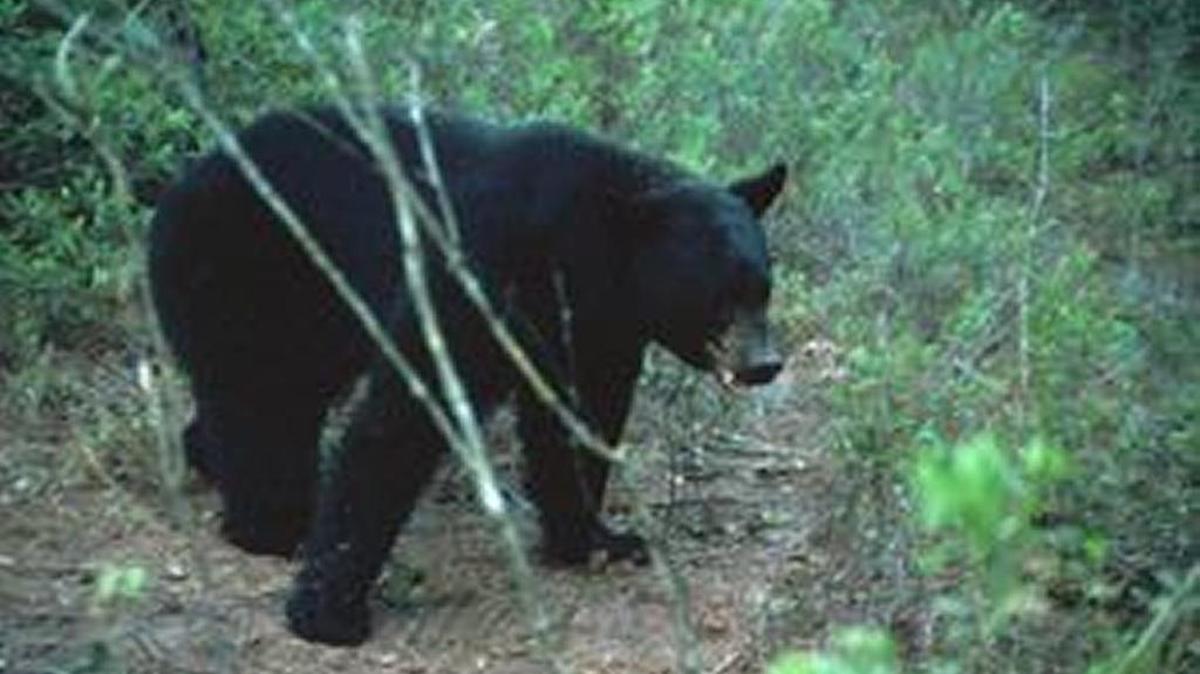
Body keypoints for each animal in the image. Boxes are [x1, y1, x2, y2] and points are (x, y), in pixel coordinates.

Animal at [148, 105, 786, 645]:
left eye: (763, 288)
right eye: (721, 298)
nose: (765, 364)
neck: (576, 247)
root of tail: (181, 180)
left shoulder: (592, 327)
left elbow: (577, 420)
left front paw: (598, 540)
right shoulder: (478, 267)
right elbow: (404, 414)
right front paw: (328, 611)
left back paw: (211, 461)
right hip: (248, 269)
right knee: (260, 396)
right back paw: (273, 524)